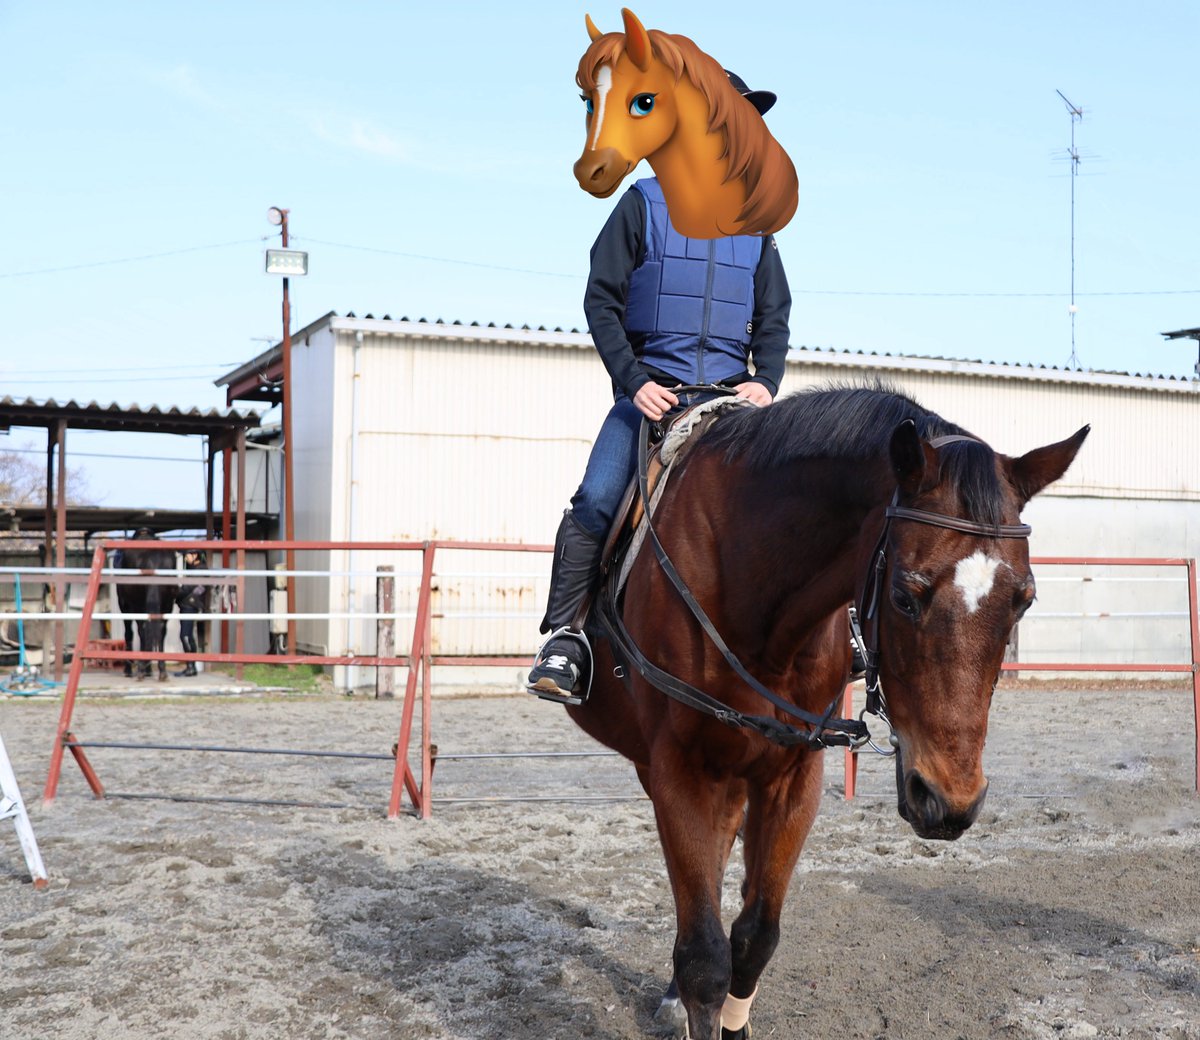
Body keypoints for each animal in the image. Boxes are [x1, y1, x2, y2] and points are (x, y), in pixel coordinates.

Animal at [115, 529, 177, 682]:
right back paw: (162, 671)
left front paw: (131, 669)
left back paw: (141, 669)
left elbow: (130, 634)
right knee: (160, 630)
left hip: (135, 605)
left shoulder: (125, 606)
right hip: (167, 604)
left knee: (141, 631)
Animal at [566, 385, 1088, 1040]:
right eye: (904, 596)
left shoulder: (794, 776)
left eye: (1023, 600)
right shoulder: (680, 771)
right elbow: (705, 959)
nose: (950, 802)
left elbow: (753, 938)